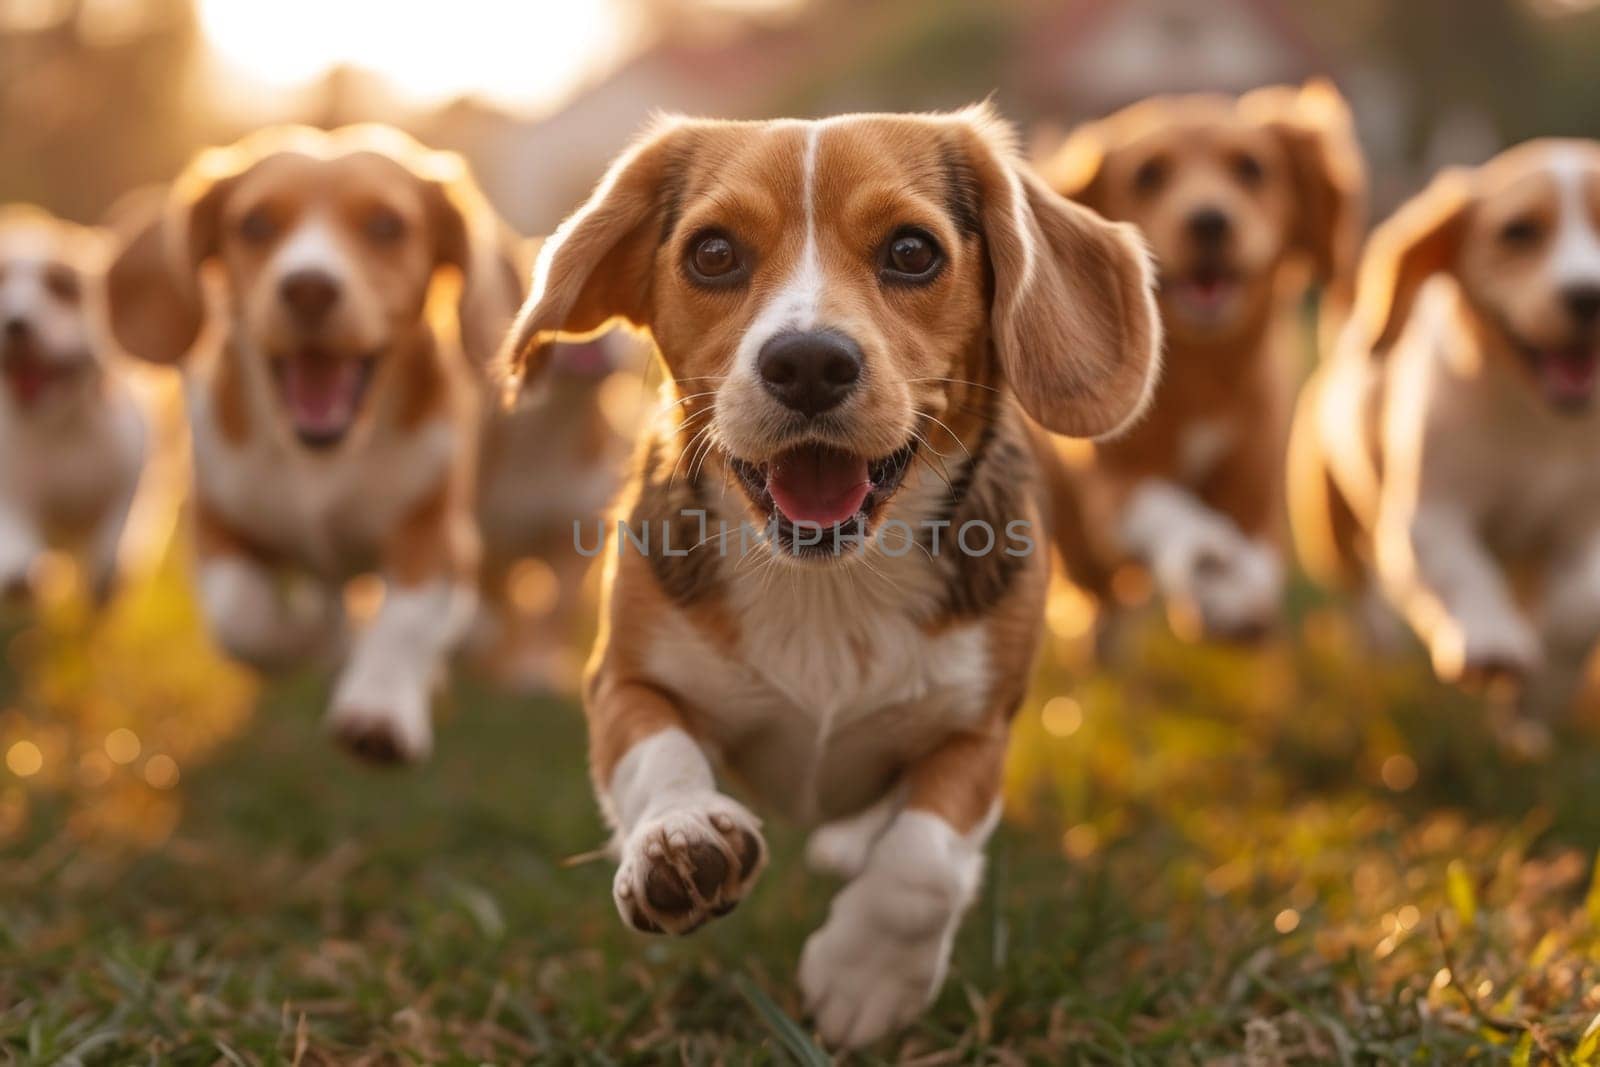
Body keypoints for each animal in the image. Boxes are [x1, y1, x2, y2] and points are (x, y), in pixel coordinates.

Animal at [0, 206, 147, 604]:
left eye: (62, 287)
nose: (14, 323)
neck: (61, 428)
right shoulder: (13, 485)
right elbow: (12, 524)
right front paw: (17, 566)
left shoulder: (131, 467)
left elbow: (116, 519)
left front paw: (105, 567)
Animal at [108, 127, 518, 758]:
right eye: (254, 223)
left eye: (386, 225)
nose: (308, 288)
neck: (321, 460)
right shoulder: (216, 521)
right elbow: (242, 612)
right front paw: (307, 641)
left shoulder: (435, 533)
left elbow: (407, 620)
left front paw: (379, 709)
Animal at [499, 106, 1164, 1043]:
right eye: (713, 253)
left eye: (913, 251)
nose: (809, 362)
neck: (827, 580)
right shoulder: (623, 681)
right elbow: (659, 755)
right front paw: (680, 837)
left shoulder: (978, 730)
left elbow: (924, 864)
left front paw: (864, 980)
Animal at [1036, 83, 1363, 643]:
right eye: (1148, 174)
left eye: (1251, 168)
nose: (1210, 221)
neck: (1199, 375)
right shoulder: (1111, 488)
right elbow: (1173, 513)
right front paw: (1211, 569)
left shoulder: (1253, 478)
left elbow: (1254, 549)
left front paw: (1238, 594)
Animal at [1286, 139, 1600, 710]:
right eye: (1519, 231)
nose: (1590, 296)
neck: (1540, 422)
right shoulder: (1429, 516)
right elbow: (1464, 570)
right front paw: (1491, 642)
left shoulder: (1585, 524)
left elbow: (1582, 602)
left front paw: (1547, 663)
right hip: (1331, 527)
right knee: (1362, 599)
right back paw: (1382, 647)